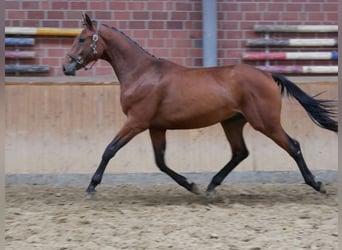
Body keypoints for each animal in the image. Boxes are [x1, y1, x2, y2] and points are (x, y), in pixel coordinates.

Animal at [62, 14, 338, 197]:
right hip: (232, 122)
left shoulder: (136, 121)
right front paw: (191, 185)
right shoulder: (156, 127)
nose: (66, 67)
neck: (142, 73)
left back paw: (317, 184)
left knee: (293, 146)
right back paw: (211, 186)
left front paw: (91, 186)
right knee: (240, 153)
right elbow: (160, 162)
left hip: (265, 123)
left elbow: (109, 150)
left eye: (82, 39)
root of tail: (267, 75)